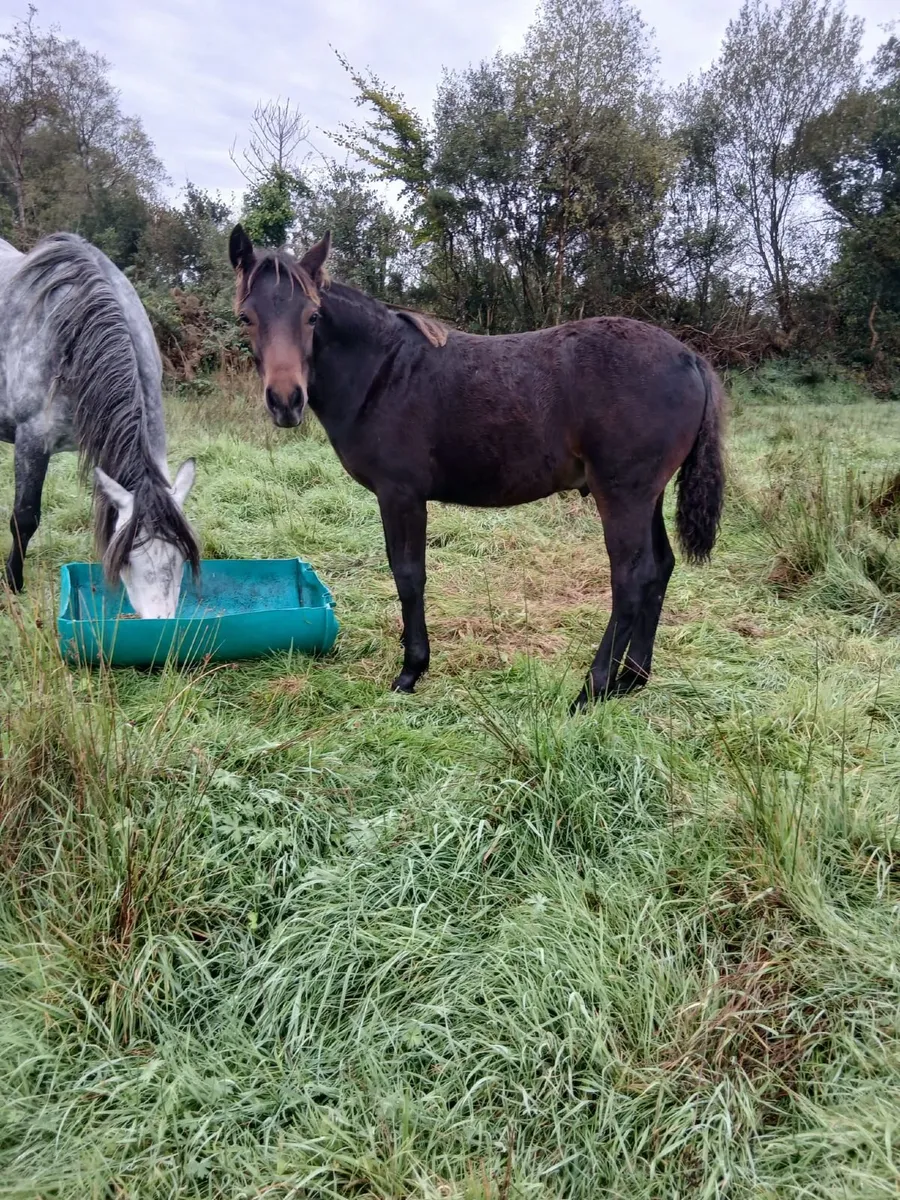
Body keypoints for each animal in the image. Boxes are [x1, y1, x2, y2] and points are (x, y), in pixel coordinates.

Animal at [0, 232, 200, 618]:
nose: (162, 624)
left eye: (181, 559)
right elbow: (24, 518)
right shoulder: (32, 441)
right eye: (129, 561)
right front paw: (13, 583)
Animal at [228, 224, 725, 708]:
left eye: (312, 317)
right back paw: (632, 680)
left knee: (630, 578)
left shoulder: (400, 495)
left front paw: (411, 671)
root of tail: (690, 358)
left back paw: (593, 689)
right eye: (246, 318)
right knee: (659, 567)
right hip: (647, 495)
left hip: (622, 495)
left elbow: (408, 575)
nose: (286, 401)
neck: (383, 372)